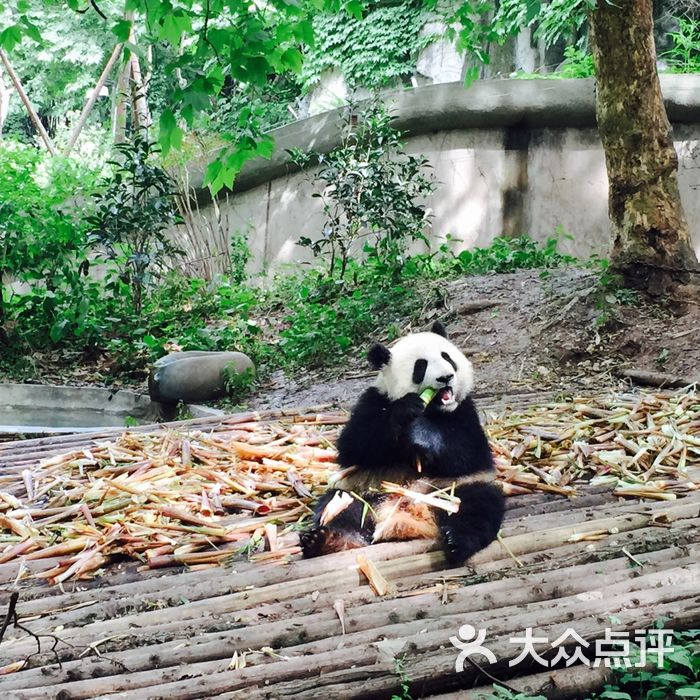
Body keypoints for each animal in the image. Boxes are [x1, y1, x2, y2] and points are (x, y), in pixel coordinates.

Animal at [300, 322, 504, 564]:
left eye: (447, 357)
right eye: (421, 366)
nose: (446, 377)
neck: (433, 409)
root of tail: (411, 516)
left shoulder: (465, 412)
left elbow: (468, 452)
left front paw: (421, 435)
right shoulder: (374, 400)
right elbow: (354, 445)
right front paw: (406, 410)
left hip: (452, 488)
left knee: (477, 507)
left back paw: (456, 542)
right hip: (362, 490)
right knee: (342, 508)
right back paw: (324, 540)